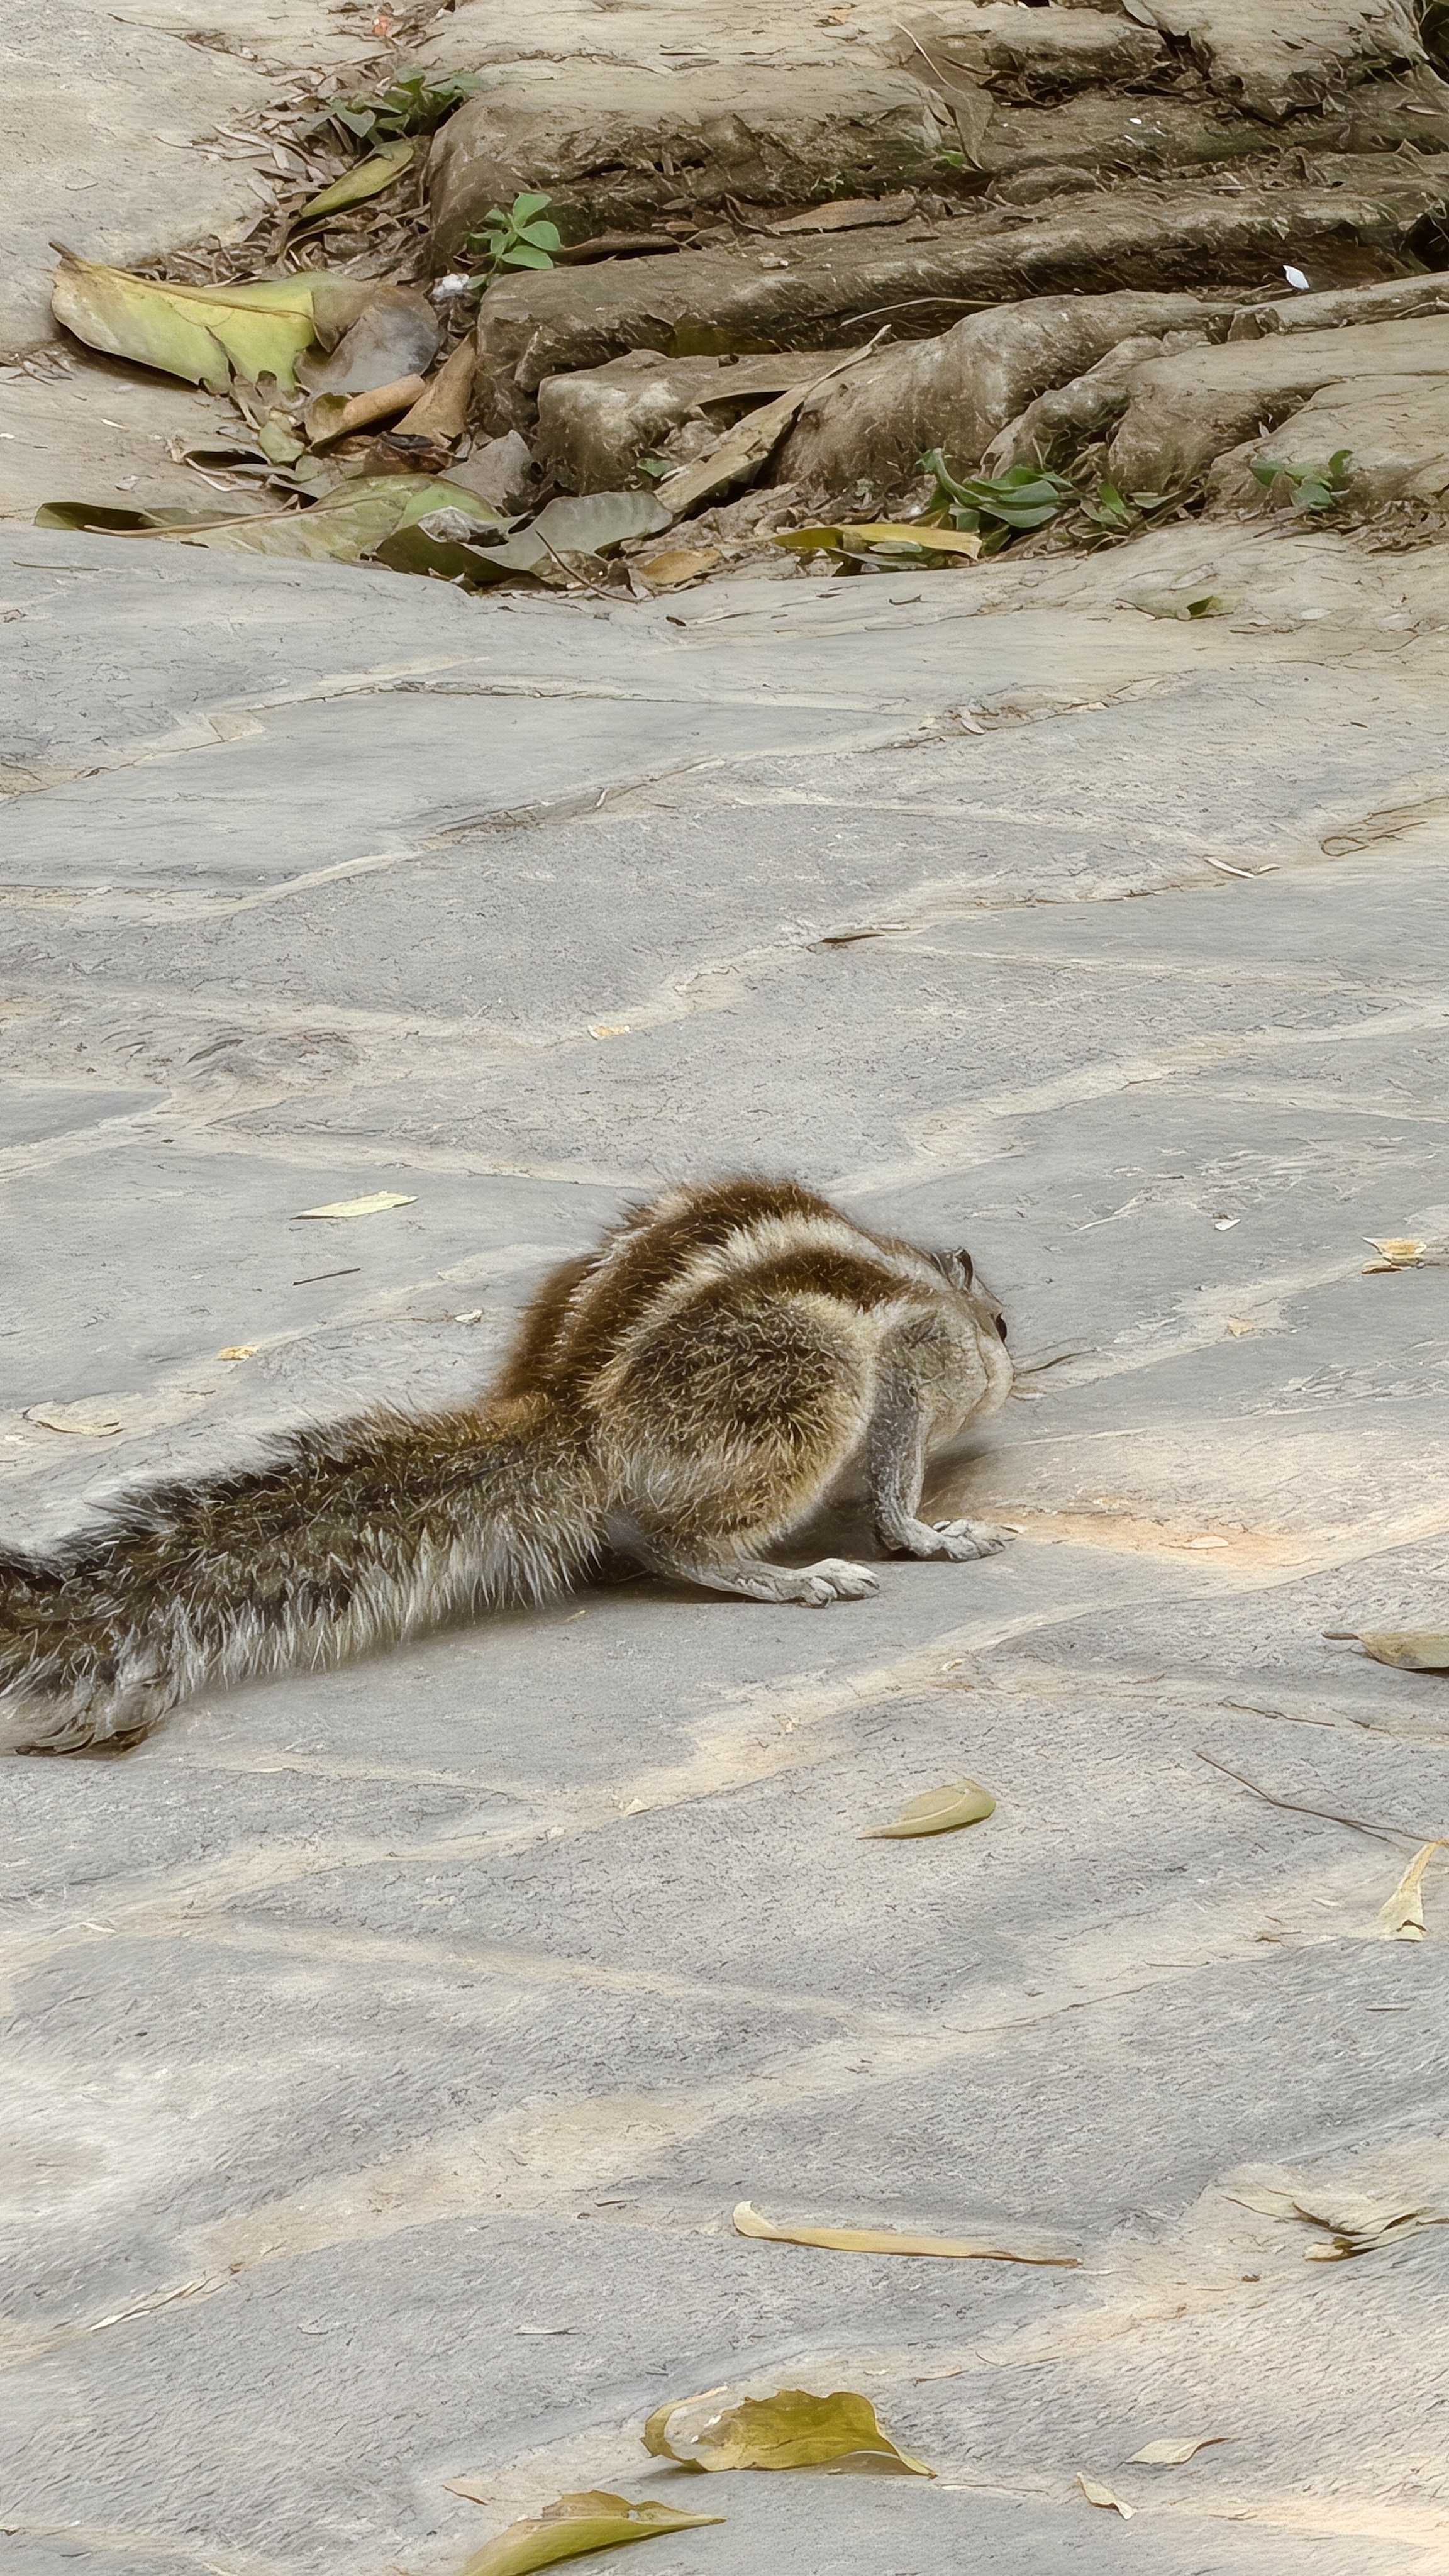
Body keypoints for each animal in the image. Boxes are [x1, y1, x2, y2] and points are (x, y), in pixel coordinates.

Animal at [0, 1176, 1013, 1754]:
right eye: (1004, 1324)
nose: (1012, 1364)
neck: (934, 1293)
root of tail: (576, 1420)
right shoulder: (914, 1361)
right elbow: (895, 1478)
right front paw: (930, 1533)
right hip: (808, 1377)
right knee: (678, 1542)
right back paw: (782, 1575)